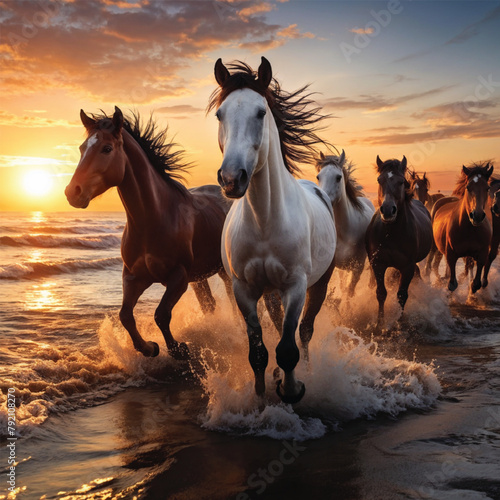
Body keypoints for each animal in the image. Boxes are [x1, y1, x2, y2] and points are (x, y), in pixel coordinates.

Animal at [65, 108, 231, 360]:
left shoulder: (178, 277)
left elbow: (161, 314)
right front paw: (149, 348)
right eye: (82, 148)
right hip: (200, 278)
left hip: (223, 271)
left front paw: (179, 349)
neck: (153, 219)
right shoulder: (133, 277)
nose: (72, 192)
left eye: (107, 148)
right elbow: (125, 315)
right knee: (209, 304)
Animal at [211, 56, 336, 404]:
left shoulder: (296, 286)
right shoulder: (243, 291)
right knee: (281, 327)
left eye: (261, 112)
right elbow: (259, 352)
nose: (232, 178)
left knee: (304, 331)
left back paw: (305, 370)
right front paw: (261, 397)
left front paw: (293, 390)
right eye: (220, 114)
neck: (265, 220)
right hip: (270, 292)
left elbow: (288, 348)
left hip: (319, 283)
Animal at [318, 150, 374, 294]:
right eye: (318, 177)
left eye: (338, 177)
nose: (323, 198)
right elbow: (343, 288)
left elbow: (349, 291)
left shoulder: (358, 267)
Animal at [364, 155, 434, 328]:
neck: (391, 233)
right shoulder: (378, 264)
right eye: (379, 180)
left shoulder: (407, 267)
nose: (388, 210)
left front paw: (400, 321)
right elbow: (381, 293)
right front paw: (380, 323)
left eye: (401, 181)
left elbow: (402, 295)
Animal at [426, 162, 492, 292]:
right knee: (431, 265)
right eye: (468, 187)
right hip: (434, 246)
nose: (477, 216)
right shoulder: (452, 255)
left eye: (487, 188)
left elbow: (476, 283)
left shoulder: (481, 255)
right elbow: (452, 284)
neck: (470, 230)